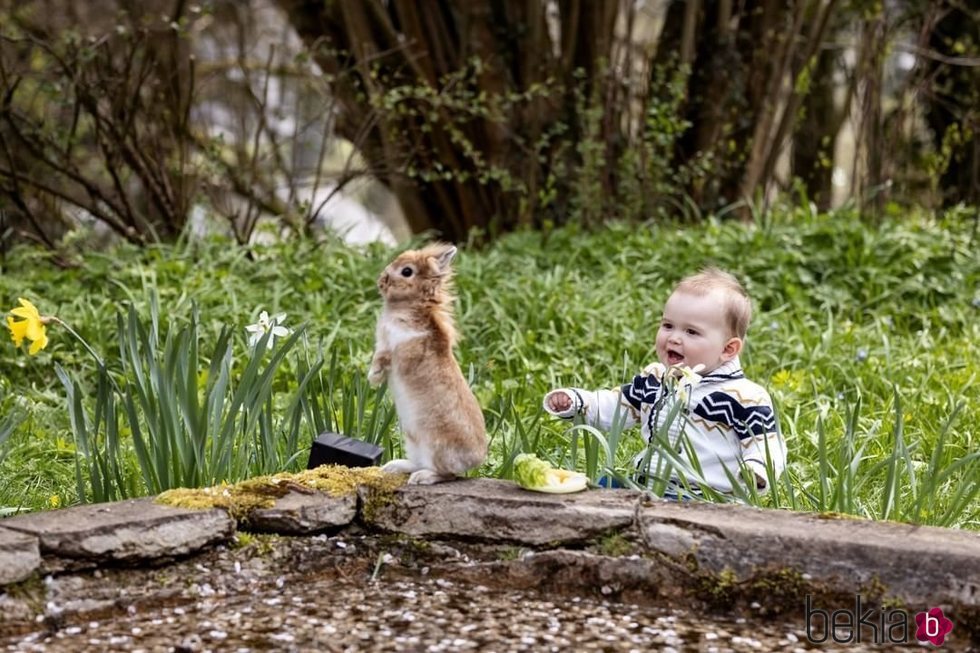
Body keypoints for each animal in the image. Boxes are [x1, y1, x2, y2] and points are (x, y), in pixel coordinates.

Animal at [370, 243, 488, 484]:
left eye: (407, 271)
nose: (382, 280)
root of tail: (475, 459)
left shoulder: (396, 348)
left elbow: (384, 358)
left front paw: (373, 377)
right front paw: (373, 379)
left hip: (435, 447)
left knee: (447, 474)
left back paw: (421, 478)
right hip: (413, 442)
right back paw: (394, 467)